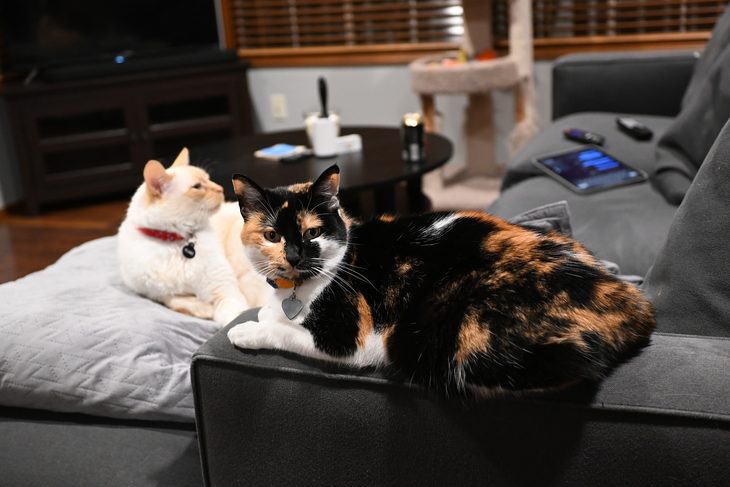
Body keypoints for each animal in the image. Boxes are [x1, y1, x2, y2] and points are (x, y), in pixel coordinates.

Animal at [118, 148, 269, 325]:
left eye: (209, 179)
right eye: (197, 186)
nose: (221, 189)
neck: (175, 242)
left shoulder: (224, 288)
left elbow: (231, 318)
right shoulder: (155, 293)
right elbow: (175, 300)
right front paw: (203, 310)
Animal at [226, 164, 656, 396]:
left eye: (313, 232)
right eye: (272, 236)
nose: (295, 256)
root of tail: (632, 302)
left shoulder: (349, 337)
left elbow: (282, 330)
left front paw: (247, 330)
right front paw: (264, 313)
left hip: (439, 338)